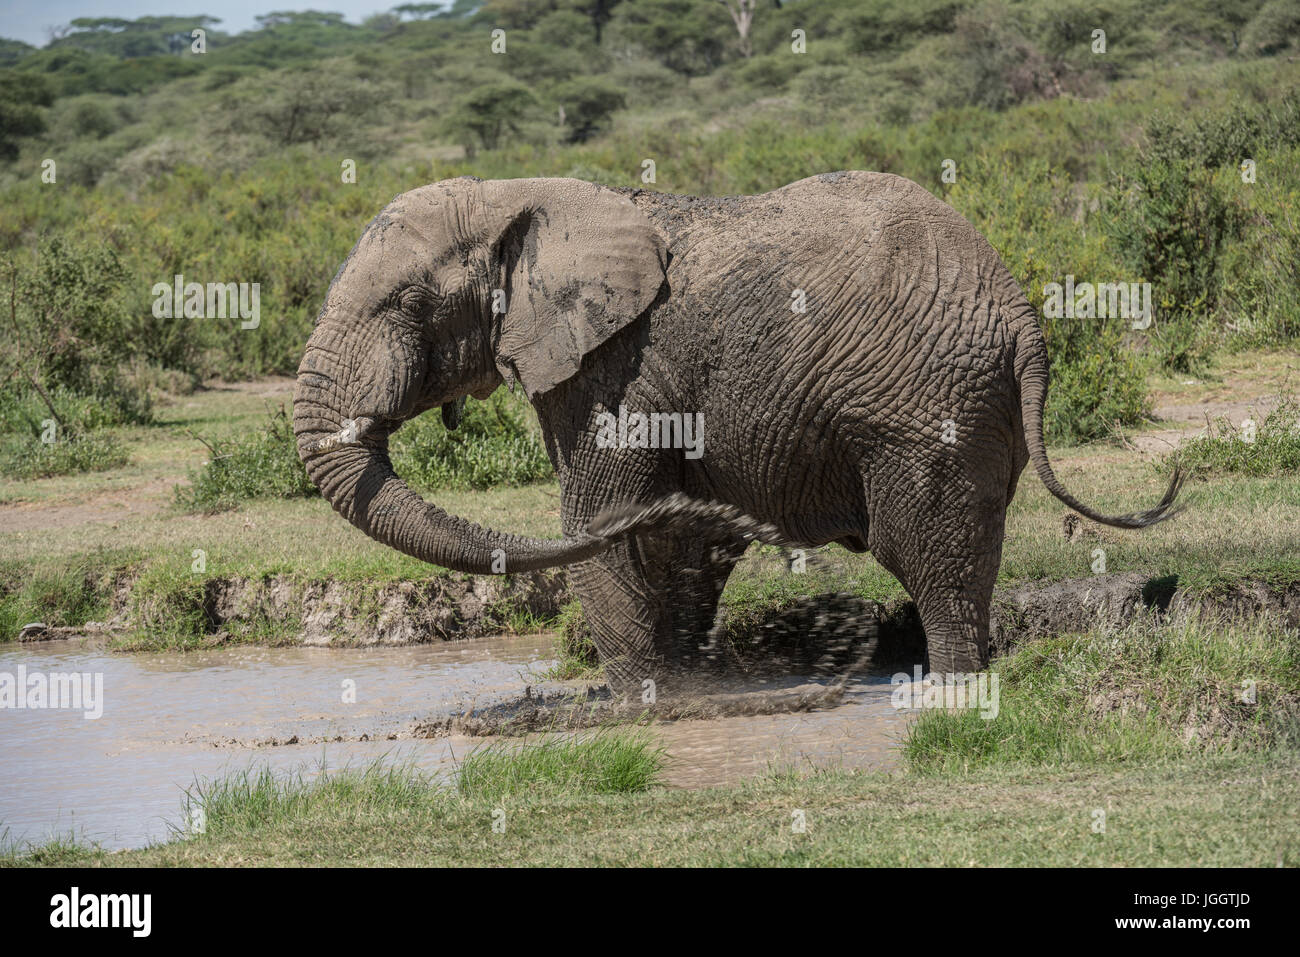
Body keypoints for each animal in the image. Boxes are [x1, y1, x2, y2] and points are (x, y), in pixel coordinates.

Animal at [292, 171, 1180, 691]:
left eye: (407, 302)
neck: (518, 195)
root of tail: (1024, 314)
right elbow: (677, 541)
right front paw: (690, 689)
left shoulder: (620, 363)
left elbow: (600, 520)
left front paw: (641, 707)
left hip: (929, 404)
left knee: (926, 553)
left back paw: (955, 690)